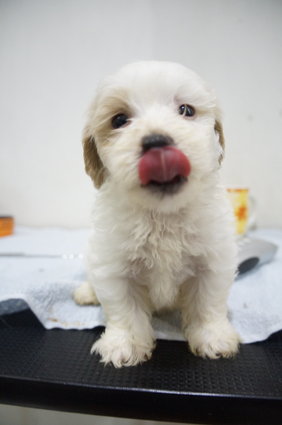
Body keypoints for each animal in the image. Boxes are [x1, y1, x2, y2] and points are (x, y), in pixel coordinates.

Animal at [74, 61, 240, 366]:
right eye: (119, 120)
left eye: (186, 110)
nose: (156, 141)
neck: (163, 215)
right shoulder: (115, 269)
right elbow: (124, 310)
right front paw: (124, 345)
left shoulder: (212, 262)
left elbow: (207, 303)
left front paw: (213, 338)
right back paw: (87, 292)